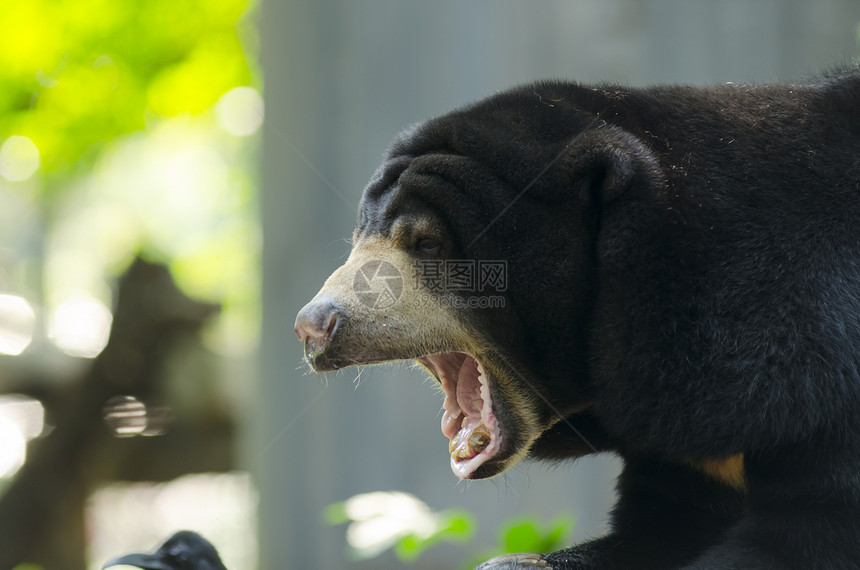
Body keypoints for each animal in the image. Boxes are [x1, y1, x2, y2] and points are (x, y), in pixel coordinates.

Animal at [294, 69, 860, 564]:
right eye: (358, 236)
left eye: (427, 243)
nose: (313, 327)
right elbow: (660, 527)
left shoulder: (811, 367)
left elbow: (810, 533)